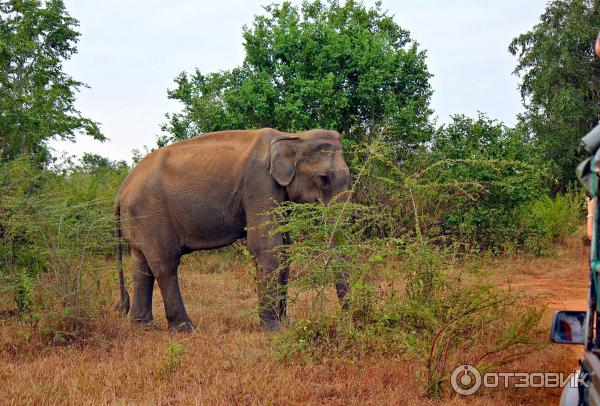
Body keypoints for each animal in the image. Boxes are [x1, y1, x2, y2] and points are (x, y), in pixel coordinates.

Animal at [112, 128, 352, 332]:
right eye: (323, 179)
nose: (347, 320)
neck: (293, 137)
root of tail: (122, 190)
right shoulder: (260, 184)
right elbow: (266, 246)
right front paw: (274, 330)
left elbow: (284, 248)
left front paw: (286, 323)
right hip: (151, 214)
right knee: (165, 264)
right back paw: (186, 329)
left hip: (139, 220)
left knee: (141, 265)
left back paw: (144, 327)